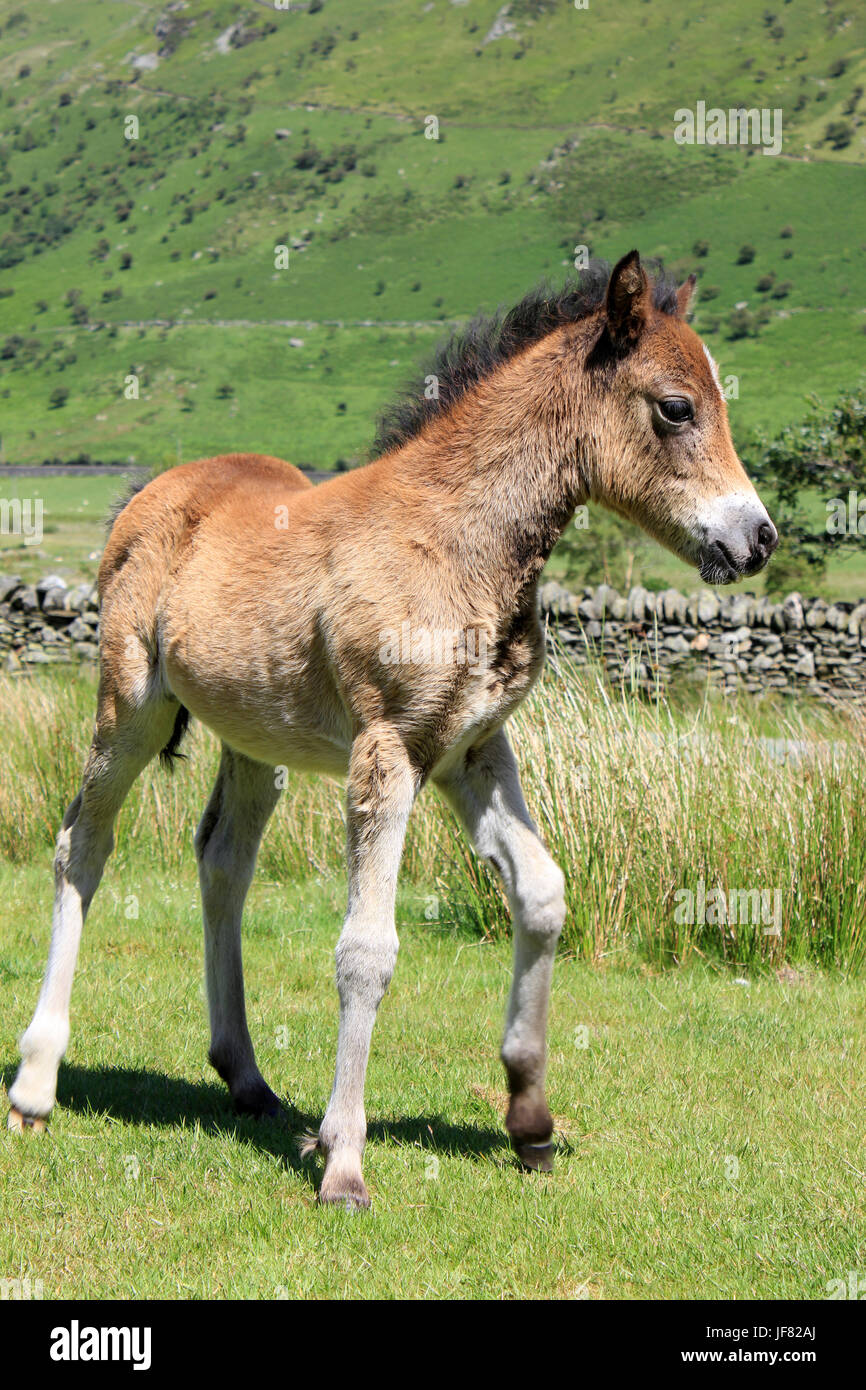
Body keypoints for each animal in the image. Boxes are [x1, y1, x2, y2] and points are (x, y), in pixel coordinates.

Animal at [6, 252, 778, 1206]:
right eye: (676, 407)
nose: (758, 539)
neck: (455, 542)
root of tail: (151, 490)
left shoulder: (471, 749)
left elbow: (544, 894)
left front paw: (529, 1119)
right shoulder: (390, 751)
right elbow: (366, 949)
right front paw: (343, 1161)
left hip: (254, 738)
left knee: (223, 858)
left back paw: (246, 1077)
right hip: (132, 705)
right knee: (83, 843)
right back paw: (36, 1084)